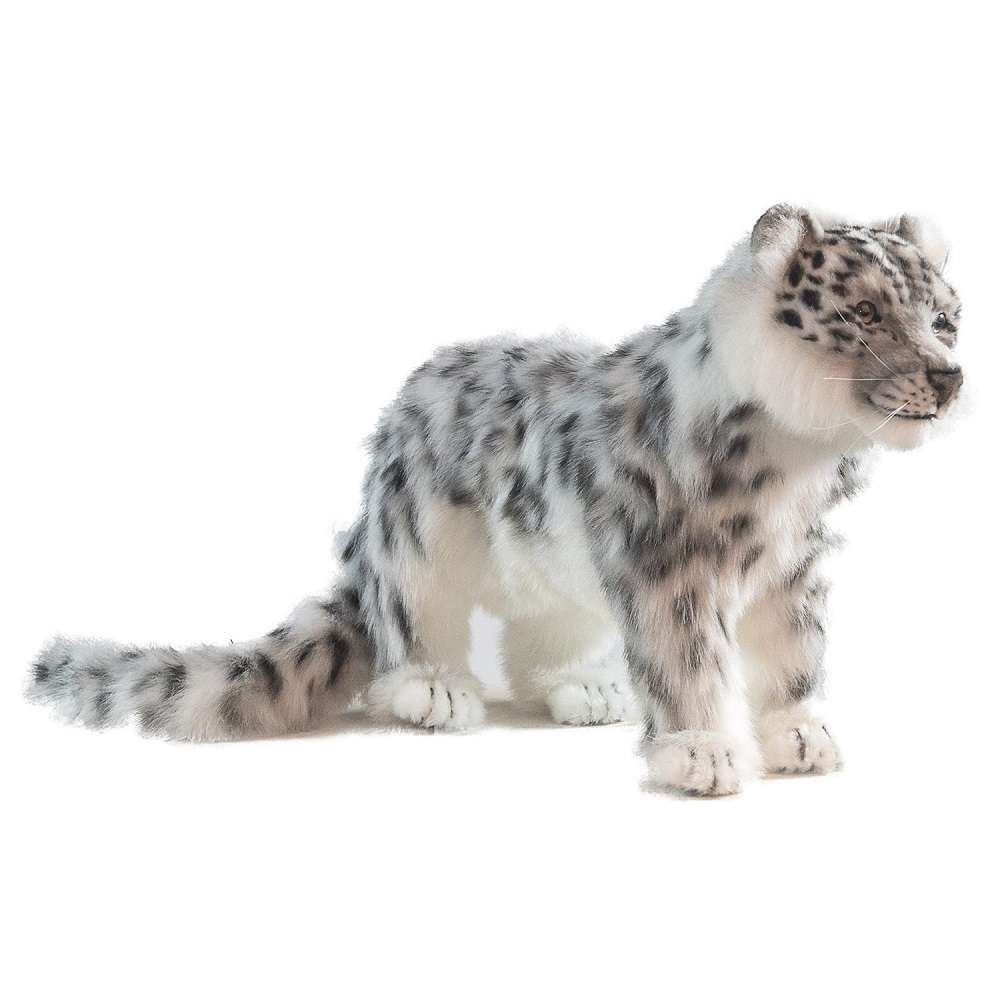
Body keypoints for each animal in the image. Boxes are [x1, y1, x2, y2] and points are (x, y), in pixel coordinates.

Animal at [28, 204, 964, 796]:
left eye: (945, 315)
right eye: (863, 311)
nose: (950, 374)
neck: (796, 465)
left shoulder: (795, 565)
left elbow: (797, 653)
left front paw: (800, 735)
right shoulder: (668, 562)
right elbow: (686, 657)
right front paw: (699, 750)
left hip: (560, 580)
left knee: (539, 639)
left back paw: (585, 689)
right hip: (416, 547)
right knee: (406, 631)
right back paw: (435, 691)